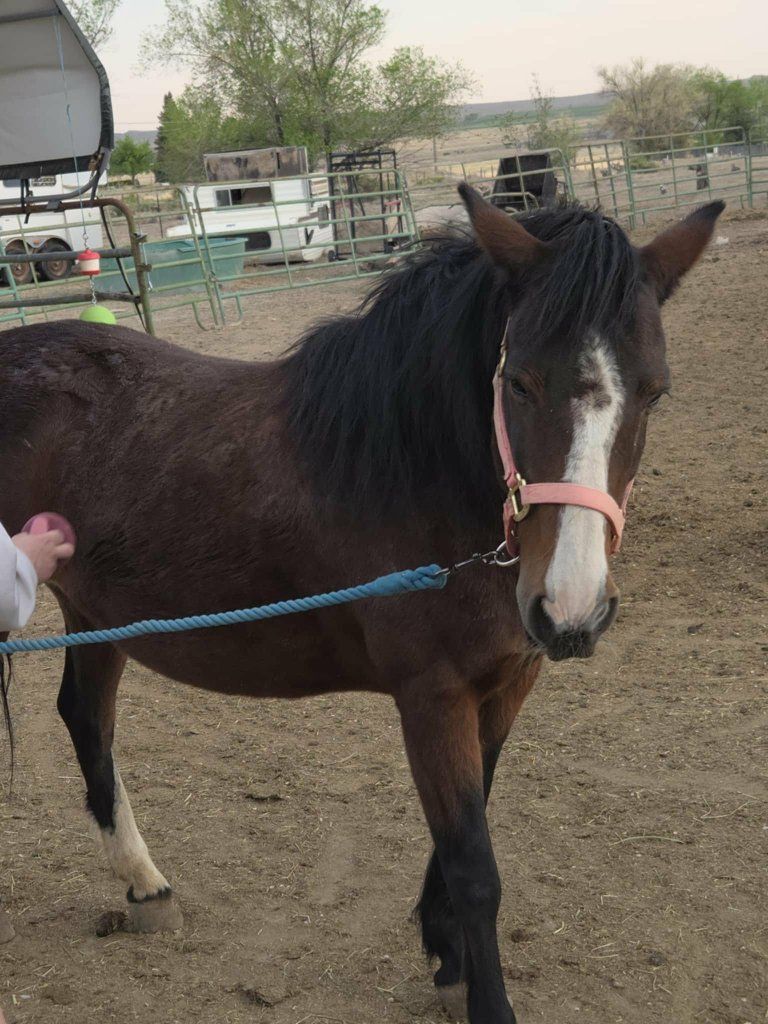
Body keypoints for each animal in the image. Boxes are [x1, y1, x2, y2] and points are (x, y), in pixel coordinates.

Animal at [0, 186, 723, 1023]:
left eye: (655, 391)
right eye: (519, 383)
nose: (571, 610)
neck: (418, 472)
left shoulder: (508, 683)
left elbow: (469, 827)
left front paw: (446, 953)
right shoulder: (433, 697)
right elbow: (474, 865)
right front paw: (483, 995)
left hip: (96, 610)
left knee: (87, 717)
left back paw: (146, 886)